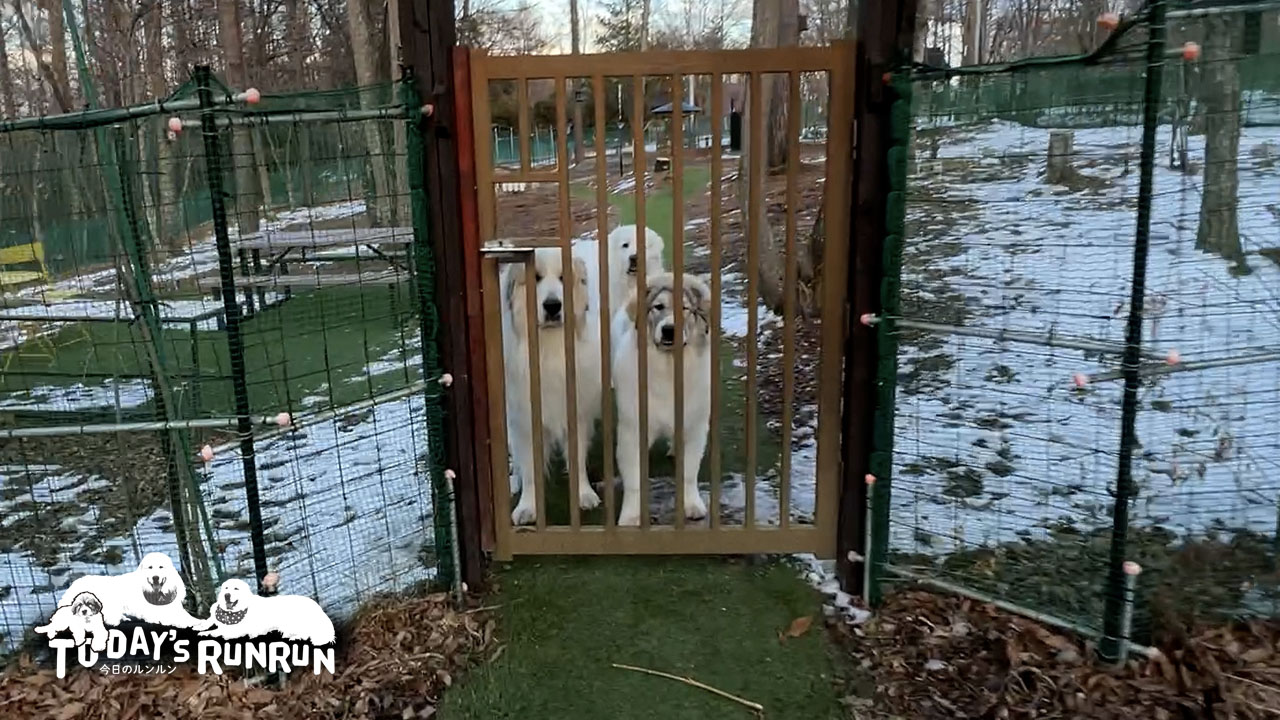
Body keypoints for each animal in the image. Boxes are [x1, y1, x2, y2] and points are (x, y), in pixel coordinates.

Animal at [198, 579, 335, 646]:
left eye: (236, 588)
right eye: (226, 588)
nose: (226, 595)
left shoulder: (237, 631)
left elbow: (218, 631)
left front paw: (206, 633)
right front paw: (203, 629)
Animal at [501, 246, 605, 525]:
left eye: (562, 277)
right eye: (535, 277)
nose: (552, 305)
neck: (549, 348)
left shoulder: (576, 412)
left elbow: (577, 458)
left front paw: (584, 494)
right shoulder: (524, 420)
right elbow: (529, 468)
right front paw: (527, 506)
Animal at [612, 272, 714, 526]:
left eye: (685, 308)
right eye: (658, 307)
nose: (669, 330)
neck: (668, 372)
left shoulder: (695, 428)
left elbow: (689, 473)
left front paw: (691, 505)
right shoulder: (632, 431)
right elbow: (634, 481)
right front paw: (630, 516)